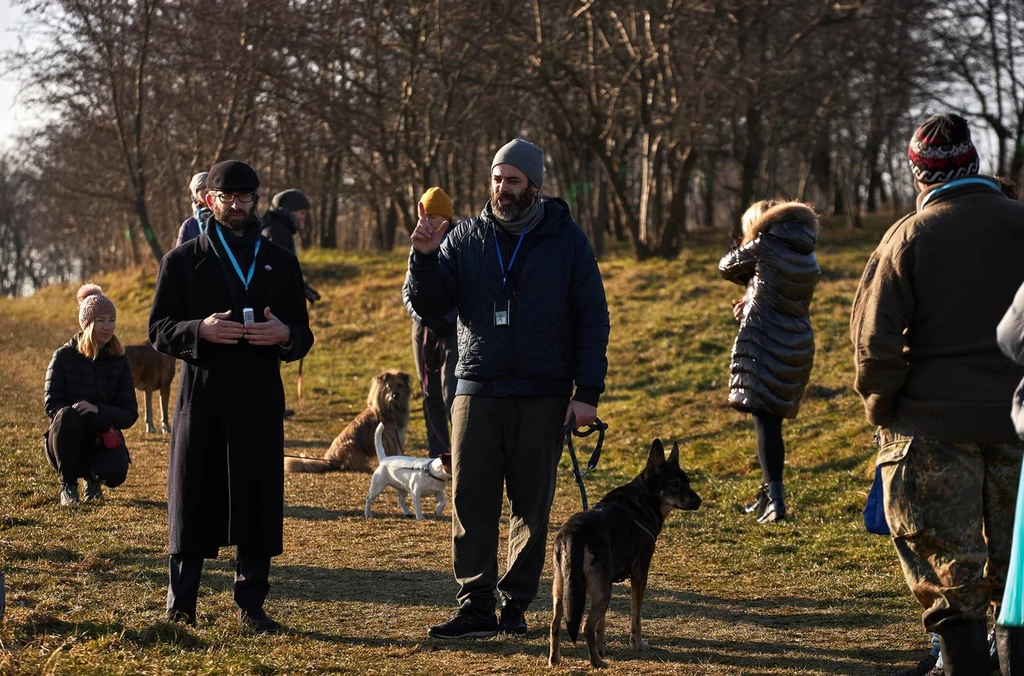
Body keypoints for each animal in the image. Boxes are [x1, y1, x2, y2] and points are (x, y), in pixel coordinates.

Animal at [548, 438, 700, 671]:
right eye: (674, 483)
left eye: (688, 481)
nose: (698, 501)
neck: (642, 499)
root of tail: (573, 532)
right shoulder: (639, 576)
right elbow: (636, 618)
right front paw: (637, 644)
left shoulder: (605, 582)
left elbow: (602, 626)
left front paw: (602, 647)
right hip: (602, 593)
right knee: (585, 627)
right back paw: (597, 662)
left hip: (564, 590)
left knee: (556, 624)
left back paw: (555, 660)